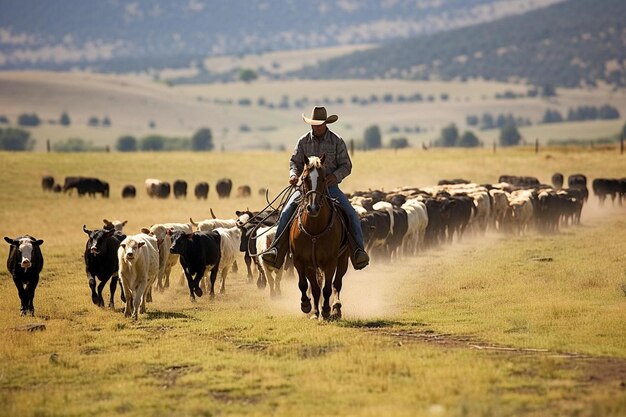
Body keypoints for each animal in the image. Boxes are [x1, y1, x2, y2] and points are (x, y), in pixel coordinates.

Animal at [288, 154, 348, 318]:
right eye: (305, 178)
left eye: (323, 179)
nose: (313, 208)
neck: (314, 229)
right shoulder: (301, 261)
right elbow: (306, 285)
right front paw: (307, 306)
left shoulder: (330, 262)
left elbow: (327, 288)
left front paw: (326, 310)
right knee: (316, 287)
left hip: (343, 260)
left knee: (337, 284)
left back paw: (336, 308)